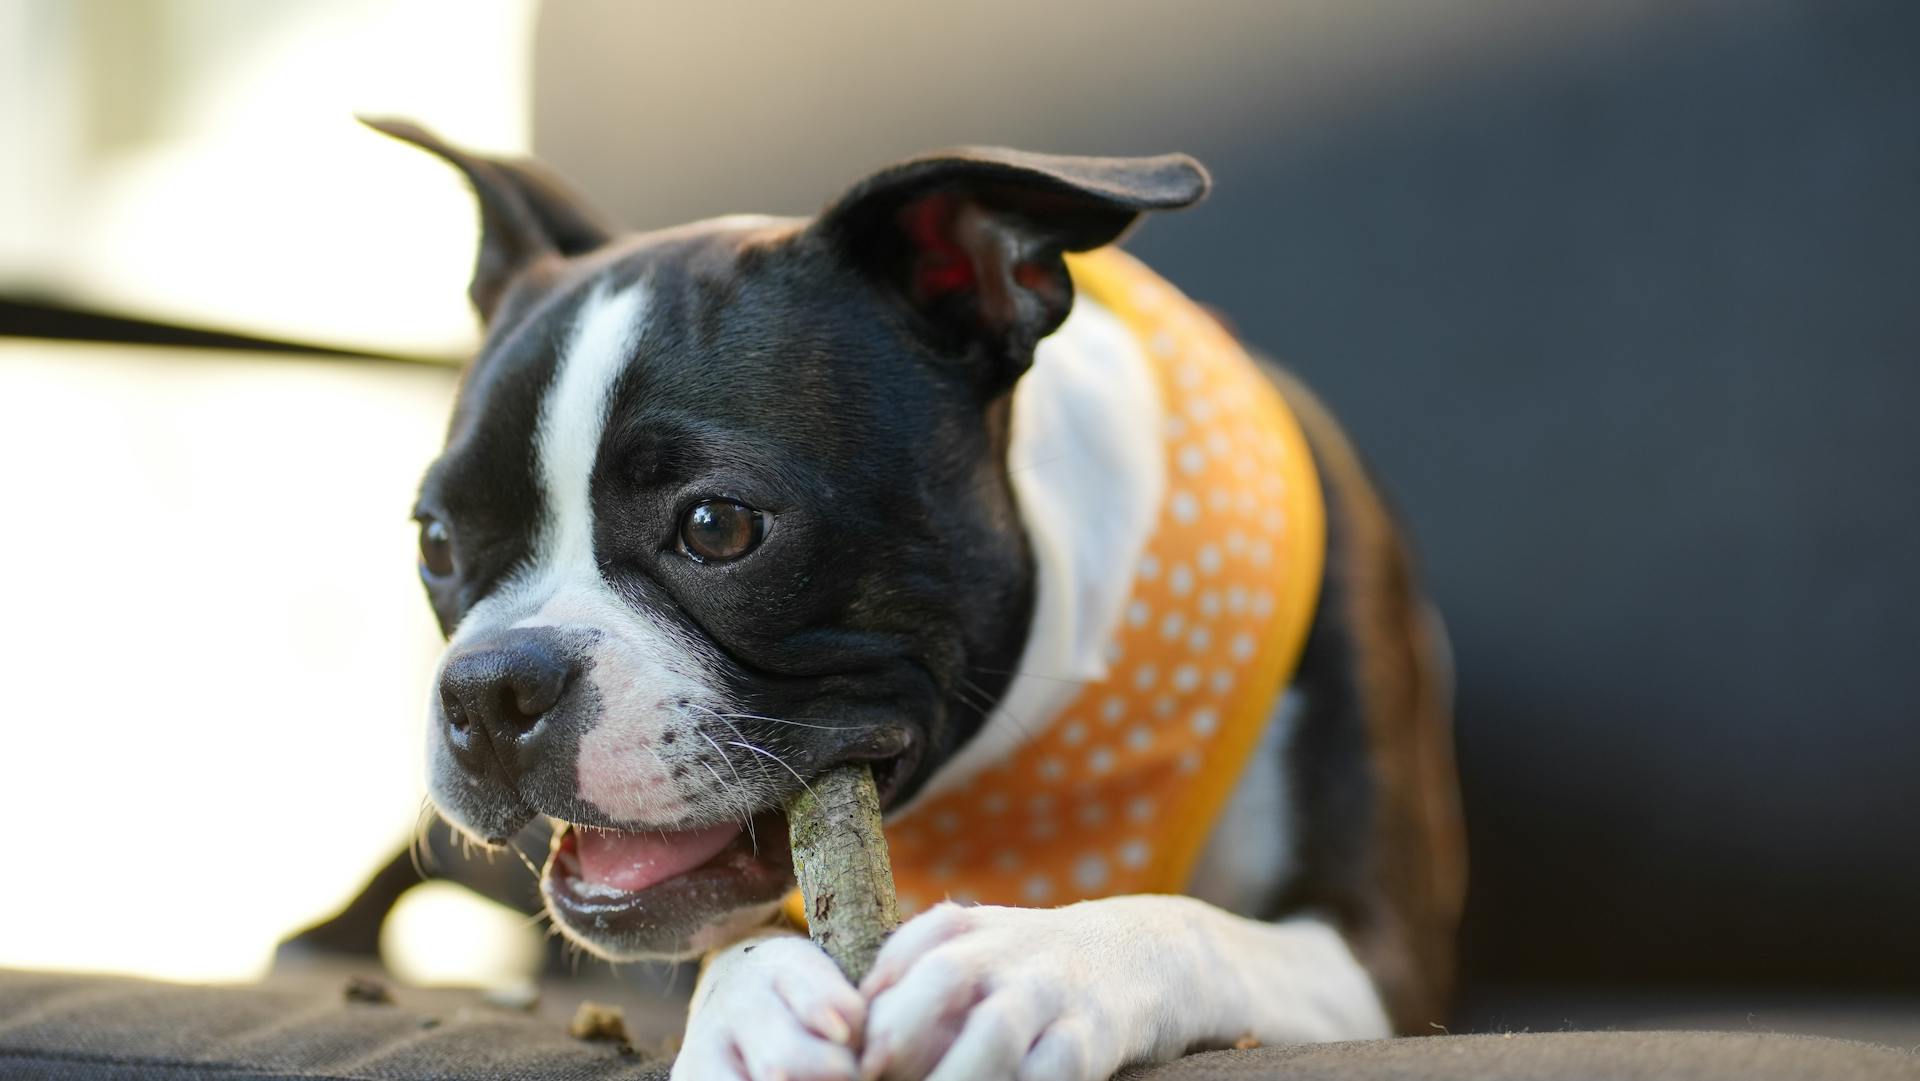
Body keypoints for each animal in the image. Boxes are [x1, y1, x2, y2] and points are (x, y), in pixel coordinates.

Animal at [362, 118, 1466, 1081]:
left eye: (717, 526)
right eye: (434, 540)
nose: (492, 686)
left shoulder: (1386, 957)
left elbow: (1197, 926)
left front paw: (1034, 966)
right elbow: (737, 939)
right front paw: (749, 1005)